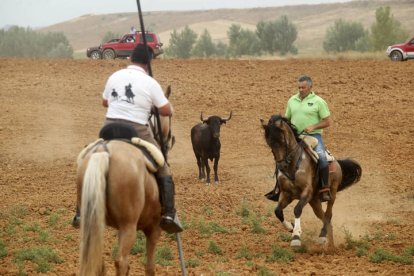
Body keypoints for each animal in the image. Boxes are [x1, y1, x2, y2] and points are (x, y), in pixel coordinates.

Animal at [262, 115, 362, 249]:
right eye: (269, 143)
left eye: (282, 141)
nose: (281, 165)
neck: (293, 165)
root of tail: (337, 163)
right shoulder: (286, 194)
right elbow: (277, 211)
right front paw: (290, 227)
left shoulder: (307, 192)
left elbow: (297, 210)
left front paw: (296, 237)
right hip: (314, 201)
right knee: (324, 217)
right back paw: (330, 245)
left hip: (332, 193)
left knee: (328, 214)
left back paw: (322, 237)